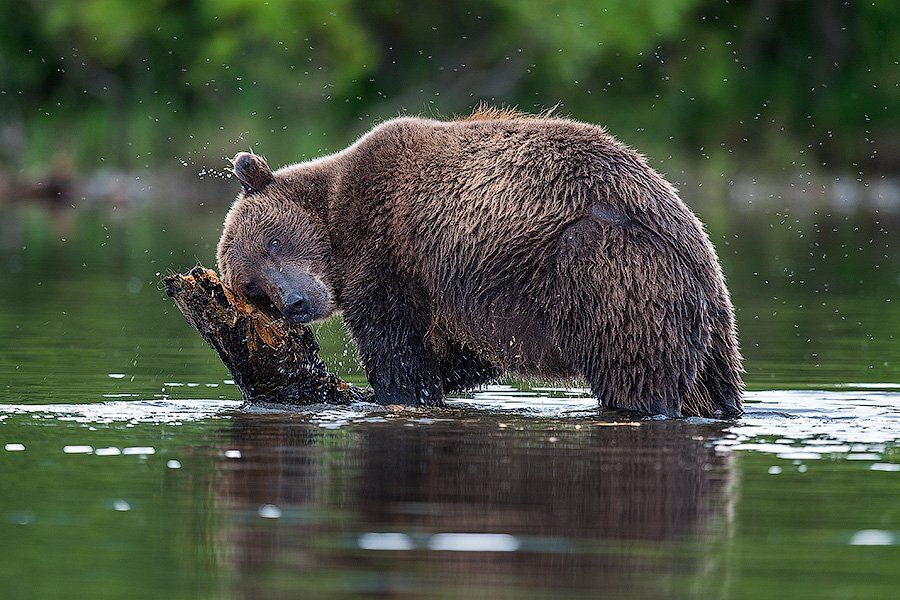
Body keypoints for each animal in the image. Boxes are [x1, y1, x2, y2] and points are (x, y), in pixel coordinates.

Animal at [214, 109, 740, 418]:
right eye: (254, 291)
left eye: (274, 242)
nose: (296, 302)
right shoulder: (446, 297)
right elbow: (460, 353)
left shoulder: (389, 250)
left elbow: (395, 349)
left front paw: (385, 391)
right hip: (706, 325)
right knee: (712, 385)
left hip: (607, 270)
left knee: (632, 369)